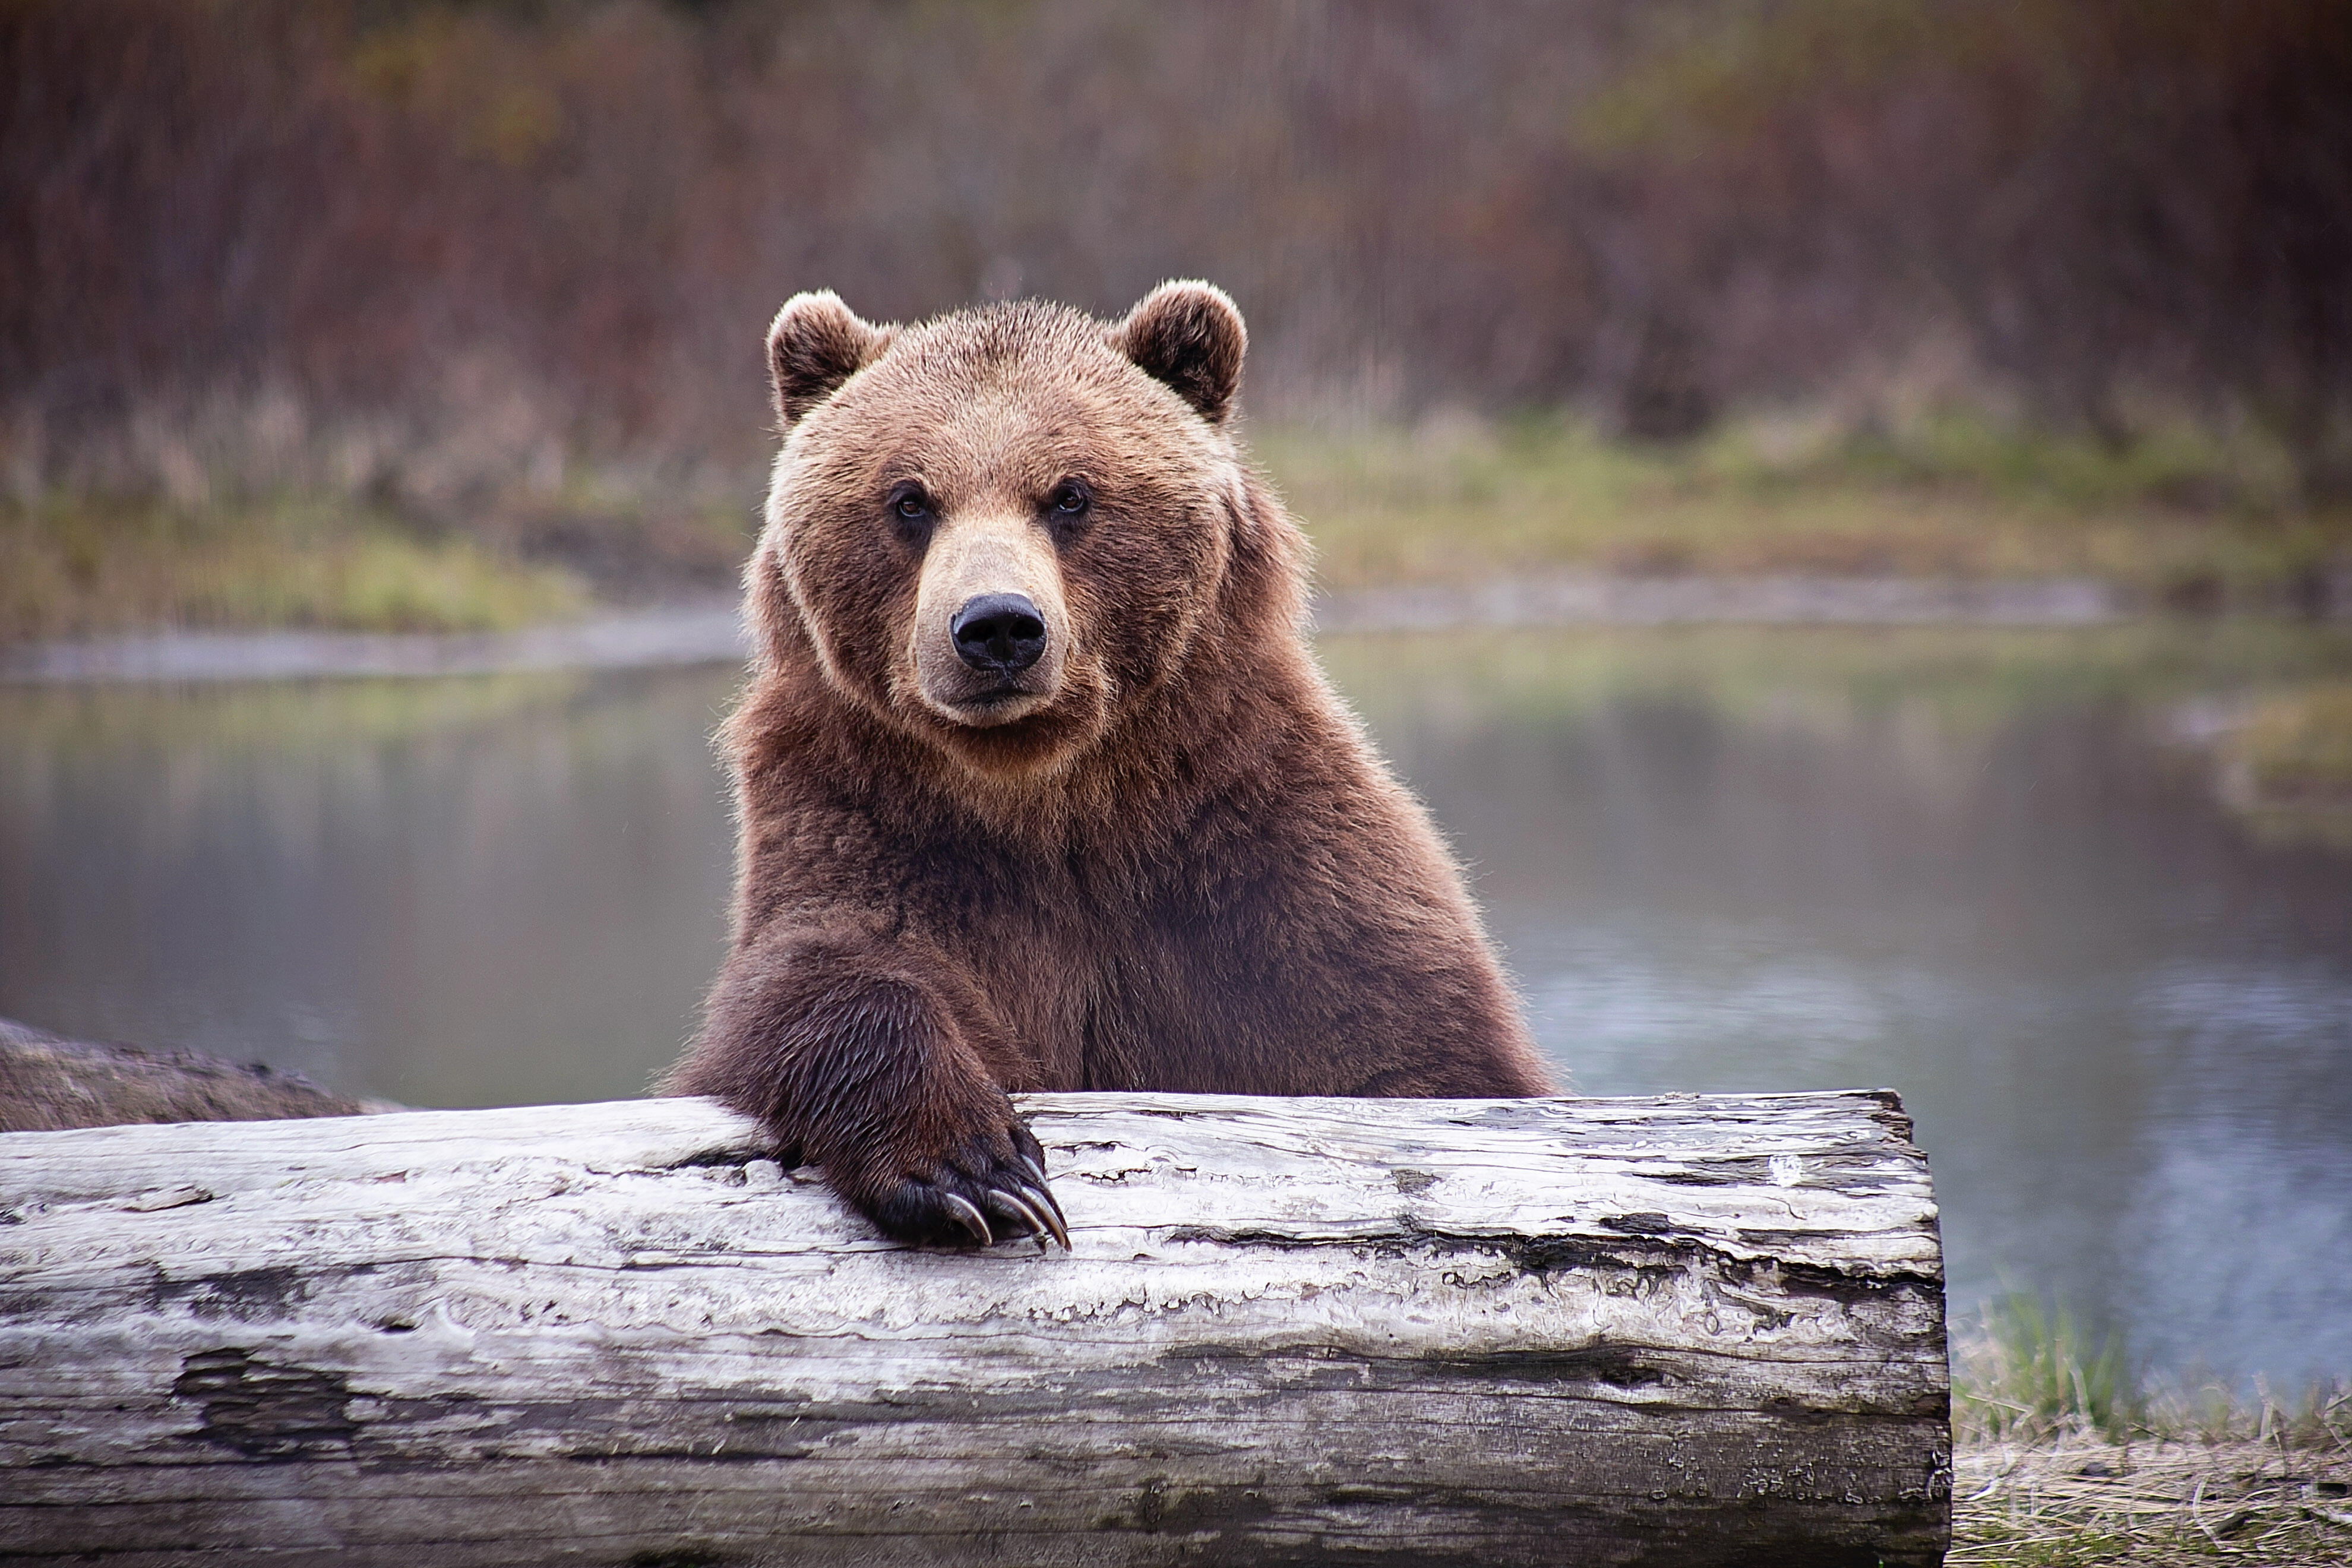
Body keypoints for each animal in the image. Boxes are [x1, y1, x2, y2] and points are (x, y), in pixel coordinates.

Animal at [668, 276, 1542, 1241]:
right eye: (909, 499)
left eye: (1070, 494)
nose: (997, 626)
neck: (1053, 796)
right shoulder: (865, 823)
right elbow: (820, 975)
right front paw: (974, 1170)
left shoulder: (1260, 856)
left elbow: (1412, 1044)